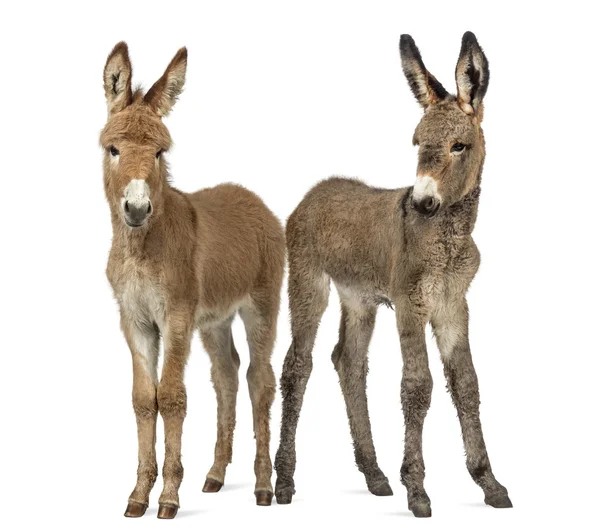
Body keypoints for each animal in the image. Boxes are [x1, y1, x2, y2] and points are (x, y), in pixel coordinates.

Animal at [101, 43, 284, 516]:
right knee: (227, 373)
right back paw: (216, 474)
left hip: (261, 307)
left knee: (260, 379)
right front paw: (138, 496)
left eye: (160, 152)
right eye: (113, 149)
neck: (143, 248)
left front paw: (167, 498)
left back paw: (263, 487)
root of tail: (252, 198)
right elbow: (143, 400)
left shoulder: (177, 318)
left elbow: (171, 396)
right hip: (216, 321)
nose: (136, 209)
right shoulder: (135, 321)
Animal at [274, 32, 512, 516]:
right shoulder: (410, 303)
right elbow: (418, 386)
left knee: (348, 361)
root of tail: (317, 189)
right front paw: (417, 489)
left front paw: (488, 481)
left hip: (358, 298)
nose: (420, 201)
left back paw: (374, 473)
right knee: (297, 366)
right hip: (309, 284)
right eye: (418, 143)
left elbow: (467, 384)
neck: (449, 237)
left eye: (459, 146)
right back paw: (284, 481)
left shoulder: (452, 305)